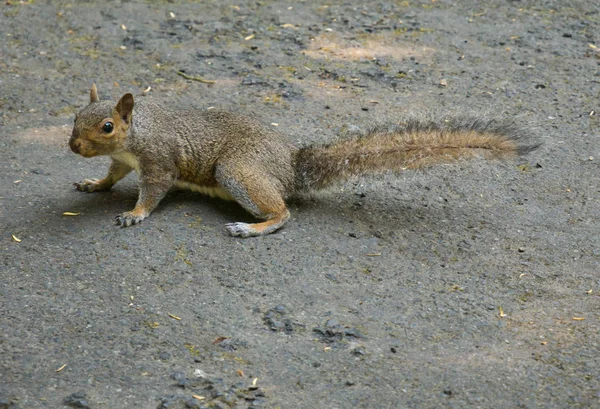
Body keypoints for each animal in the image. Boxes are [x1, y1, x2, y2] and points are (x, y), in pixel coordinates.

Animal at [69, 83, 540, 236]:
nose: (72, 147)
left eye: (107, 126)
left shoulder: (160, 161)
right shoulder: (124, 161)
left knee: (283, 213)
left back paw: (252, 227)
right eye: (74, 116)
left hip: (238, 171)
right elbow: (112, 174)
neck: (137, 133)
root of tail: (291, 167)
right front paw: (93, 184)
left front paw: (135, 214)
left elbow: (154, 191)